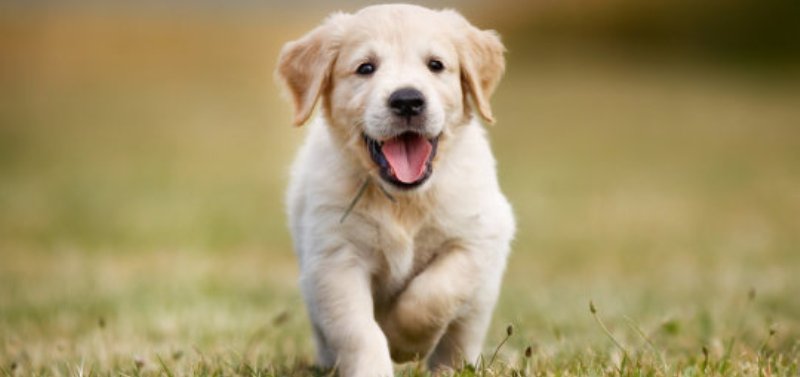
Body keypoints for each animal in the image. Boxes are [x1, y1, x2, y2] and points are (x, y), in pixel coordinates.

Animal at [276, 3, 512, 376]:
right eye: (366, 68)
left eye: (435, 65)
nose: (407, 100)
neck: (404, 199)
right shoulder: (335, 260)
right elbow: (359, 330)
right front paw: (377, 361)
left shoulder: (478, 237)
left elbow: (435, 293)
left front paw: (404, 342)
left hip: (481, 299)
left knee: (460, 336)